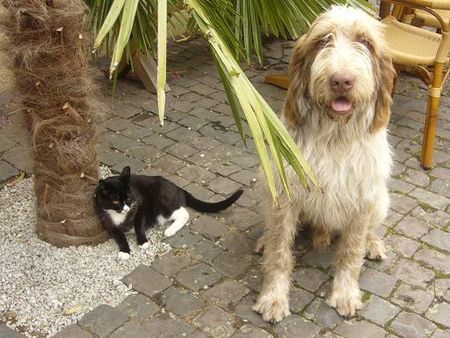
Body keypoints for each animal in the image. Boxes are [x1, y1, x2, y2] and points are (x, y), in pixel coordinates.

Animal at [93, 166, 244, 258]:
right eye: (115, 201)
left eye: (129, 198)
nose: (126, 208)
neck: (119, 215)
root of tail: (177, 188)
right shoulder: (106, 221)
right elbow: (118, 236)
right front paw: (124, 251)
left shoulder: (140, 207)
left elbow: (138, 225)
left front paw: (143, 242)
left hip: (161, 202)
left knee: (184, 213)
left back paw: (170, 230)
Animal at [253, 6, 398, 320]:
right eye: (322, 41)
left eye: (365, 42)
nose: (341, 80)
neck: (335, 134)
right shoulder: (286, 193)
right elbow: (279, 251)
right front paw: (273, 296)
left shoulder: (363, 199)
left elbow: (351, 253)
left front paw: (345, 292)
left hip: (381, 200)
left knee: (368, 231)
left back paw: (372, 243)